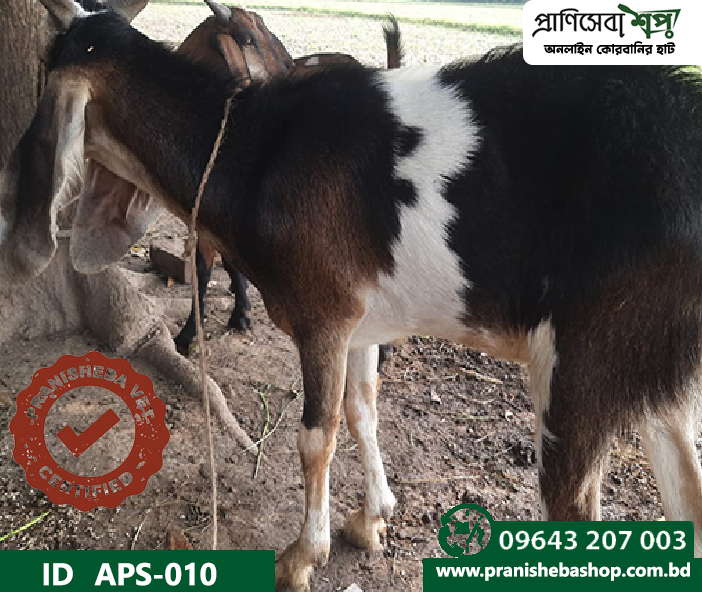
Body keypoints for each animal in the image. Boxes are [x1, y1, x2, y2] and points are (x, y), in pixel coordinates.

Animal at [4, 2, 702, 591]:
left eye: (46, 73)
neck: (256, 156)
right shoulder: (363, 319)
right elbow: (364, 410)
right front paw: (372, 519)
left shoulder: (322, 315)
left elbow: (316, 436)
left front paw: (300, 557)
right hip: (654, 366)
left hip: (583, 359)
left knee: (574, 504)